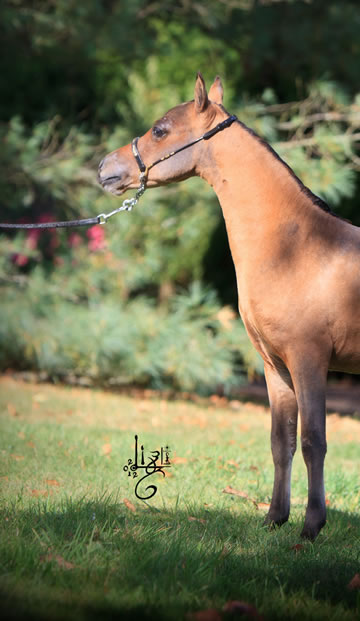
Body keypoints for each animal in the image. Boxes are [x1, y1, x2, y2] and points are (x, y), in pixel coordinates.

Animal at [97, 71, 360, 536]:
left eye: (160, 129)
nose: (105, 168)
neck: (296, 248)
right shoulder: (275, 366)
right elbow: (281, 441)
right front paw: (275, 518)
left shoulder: (309, 360)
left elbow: (313, 440)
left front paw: (312, 526)